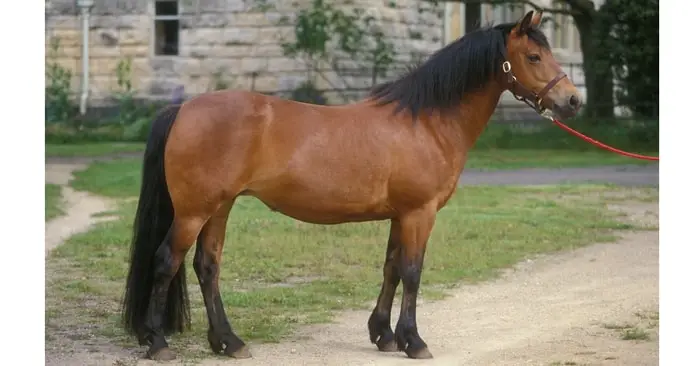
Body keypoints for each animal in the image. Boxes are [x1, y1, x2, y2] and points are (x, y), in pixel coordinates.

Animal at [121, 10, 584, 362]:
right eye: (533, 55)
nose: (573, 100)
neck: (426, 122)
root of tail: (183, 108)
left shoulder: (401, 215)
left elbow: (392, 268)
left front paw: (384, 335)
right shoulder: (420, 213)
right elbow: (413, 272)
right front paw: (414, 341)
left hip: (220, 206)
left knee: (207, 266)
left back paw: (228, 342)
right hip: (194, 211)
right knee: (166, 262)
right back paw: (158, 342)